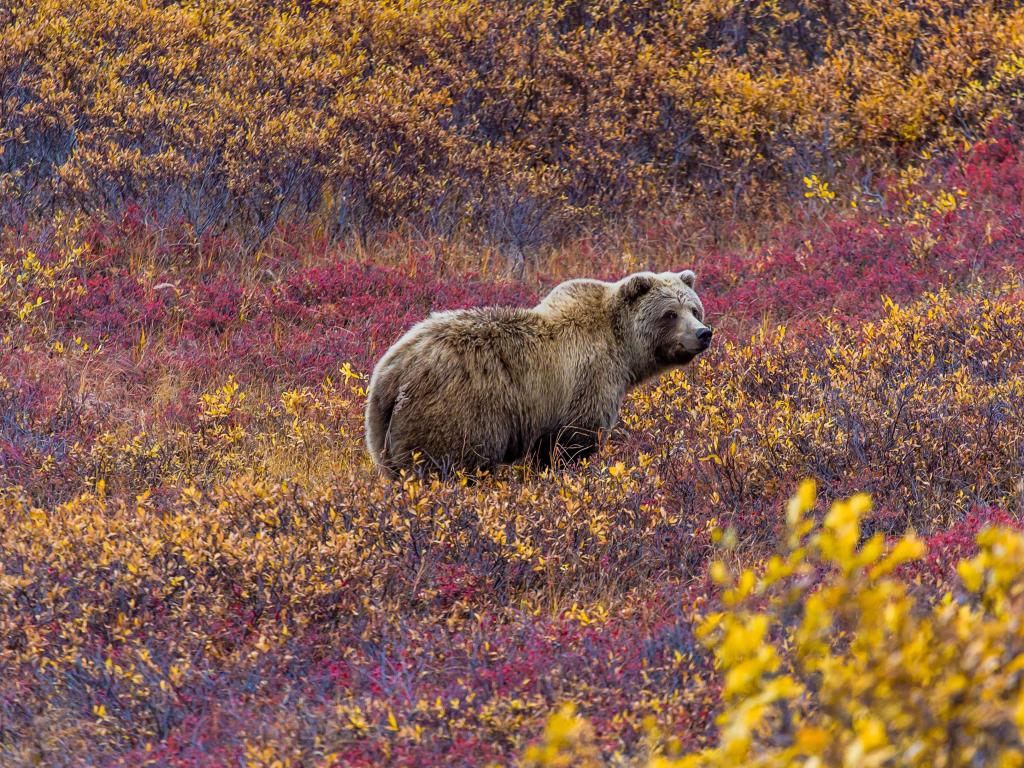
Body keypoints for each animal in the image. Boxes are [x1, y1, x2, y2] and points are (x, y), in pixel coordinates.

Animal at [368, 270, 712, 475]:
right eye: (670, 314)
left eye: (694, 309)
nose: (703, 333)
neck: (622, 348)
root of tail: (391, 371)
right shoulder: (586, 382)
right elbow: (572, 442)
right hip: (456, 413)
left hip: (382, 432)